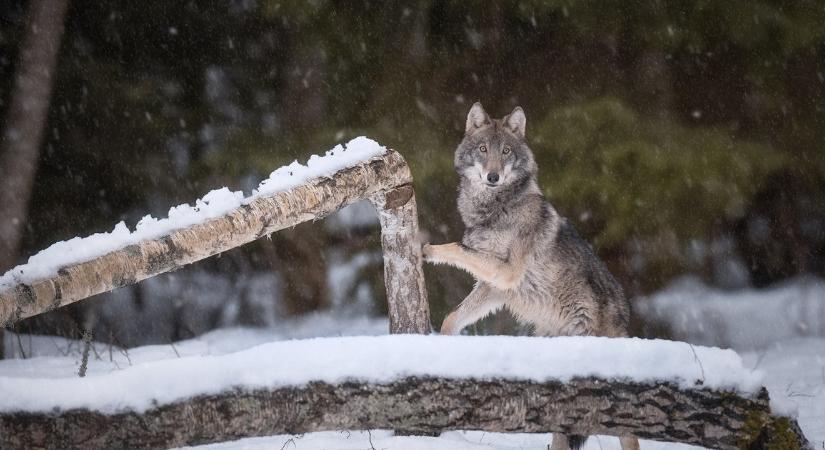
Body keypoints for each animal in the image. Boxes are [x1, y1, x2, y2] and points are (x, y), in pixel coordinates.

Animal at [422, 102, 640, 450]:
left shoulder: (505, 272)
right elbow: (453, 317)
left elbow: (457, 247)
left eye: (506, 151)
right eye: (483, 149)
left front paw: (426, 249)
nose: (493, 176)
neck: (494, 210)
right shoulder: (493, 287)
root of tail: (625, 315)